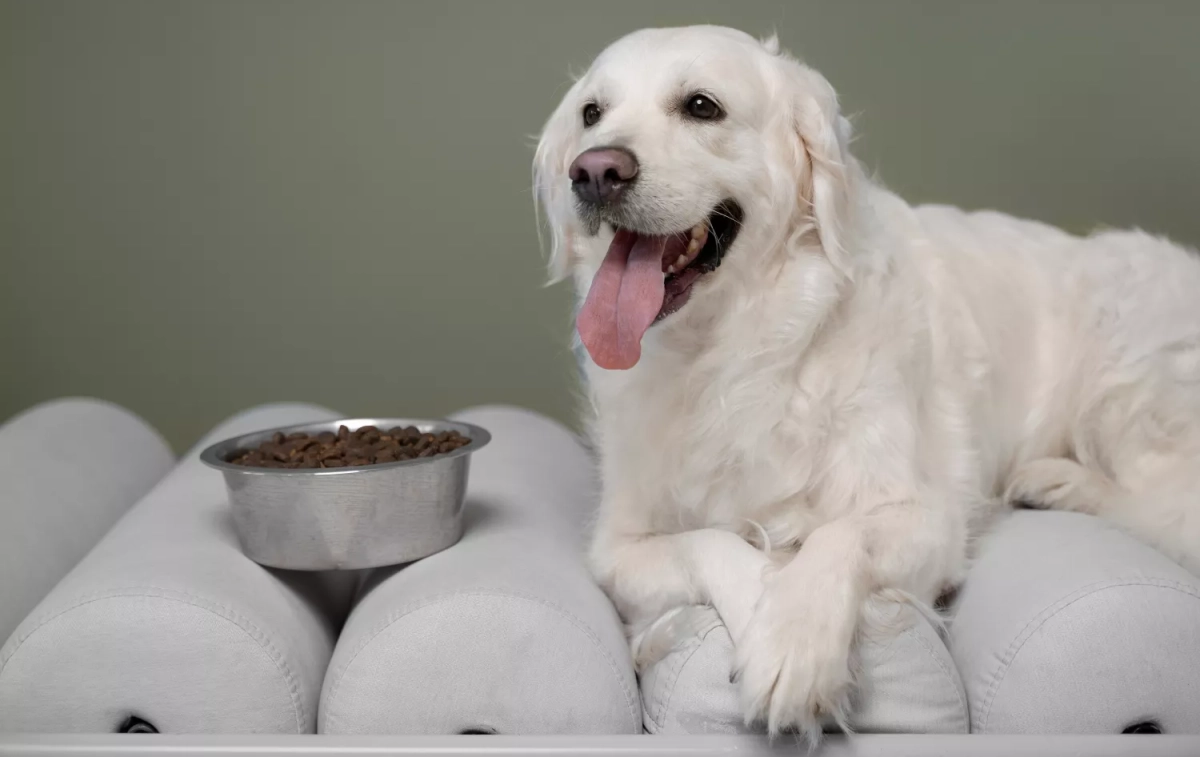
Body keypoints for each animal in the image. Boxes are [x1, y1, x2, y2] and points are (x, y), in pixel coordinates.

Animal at [532, 23, 1200, 739]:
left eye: (702, 106)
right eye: (592, 113)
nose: (594, 172)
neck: (734, 350)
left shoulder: (929, 519)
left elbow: (839, 534)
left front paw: (794, 642)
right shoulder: (616, 549)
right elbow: (709, 542)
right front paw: (763, 608)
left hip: (1124, 369)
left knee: (1162, 500)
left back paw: (1061, 481)